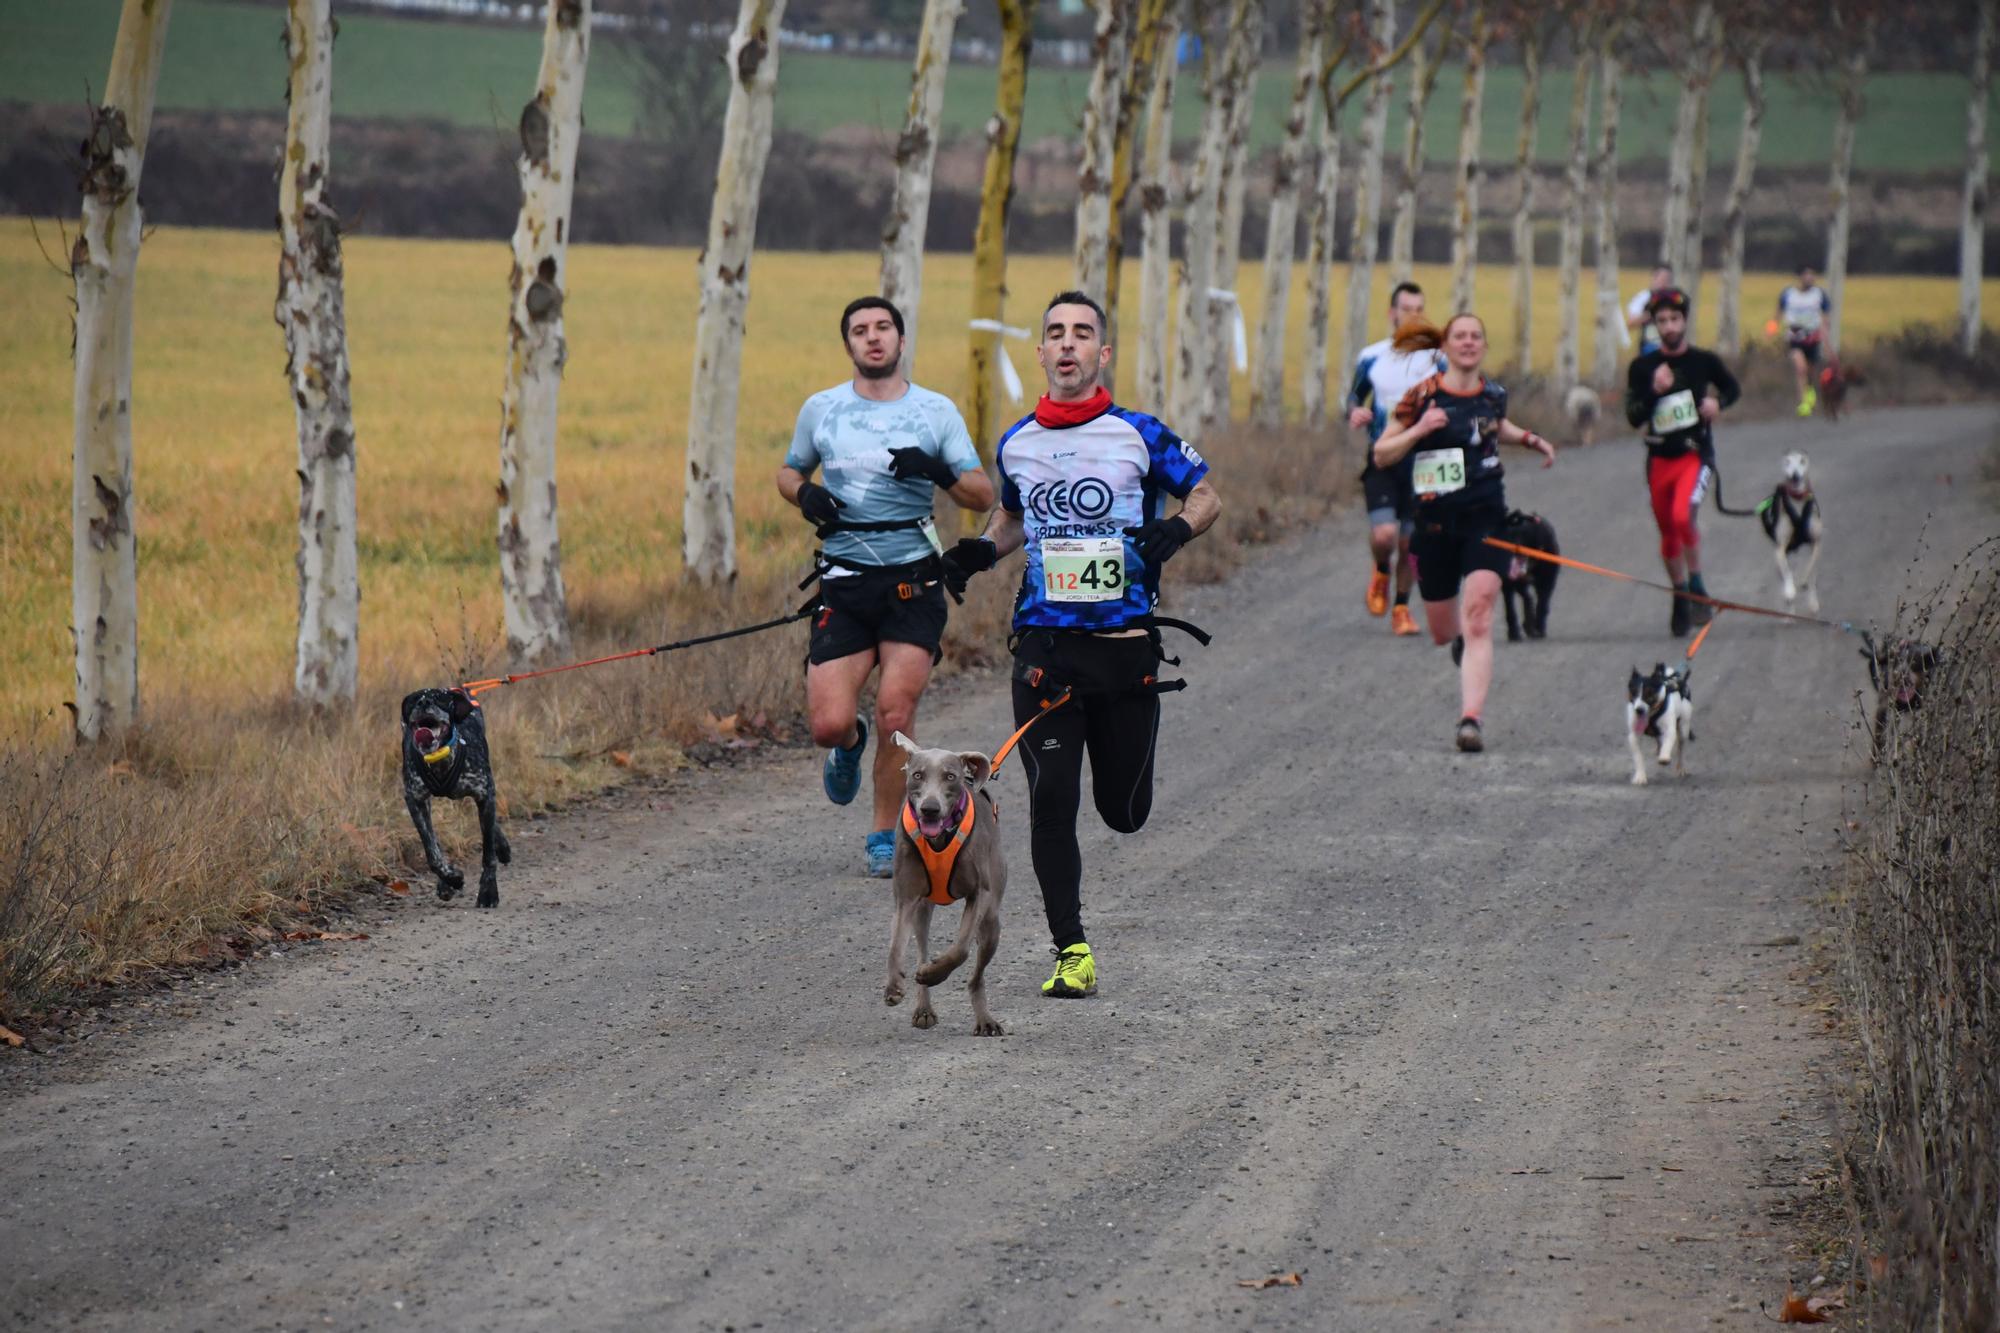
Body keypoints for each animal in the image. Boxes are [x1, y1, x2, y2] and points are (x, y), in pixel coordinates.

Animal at [400, 684, 512, 904]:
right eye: (415, 700)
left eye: (439, 699)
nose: (423, 703)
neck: (439, 759)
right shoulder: (415, 801)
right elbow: (432, 852)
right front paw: (451, 878)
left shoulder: (484, 793)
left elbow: (488, 854)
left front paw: (488, 891)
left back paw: (502, 847)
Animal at [888, 732, 1008, 1032]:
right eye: (917, 775)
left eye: (951, 776)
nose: (930, 809)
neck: (939, 838)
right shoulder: (906, 897)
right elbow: (896, 945)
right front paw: (893, 986)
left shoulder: (979, 895)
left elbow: (961, 950)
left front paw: (935, 974)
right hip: (922, 909)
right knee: (921, 949)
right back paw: (923, 1008)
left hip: (992, 922)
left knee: (976, 975)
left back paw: (985, 1020)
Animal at [1760, 448, 1824, 608]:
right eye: (1787, 462)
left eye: (1802, 461)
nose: (1795, 475)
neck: (1798, 499)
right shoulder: (1780, 548)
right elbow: (1787, 573)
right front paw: (1790, 590)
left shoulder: (1816, 543)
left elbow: (1811, 568)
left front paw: (1808, 588)